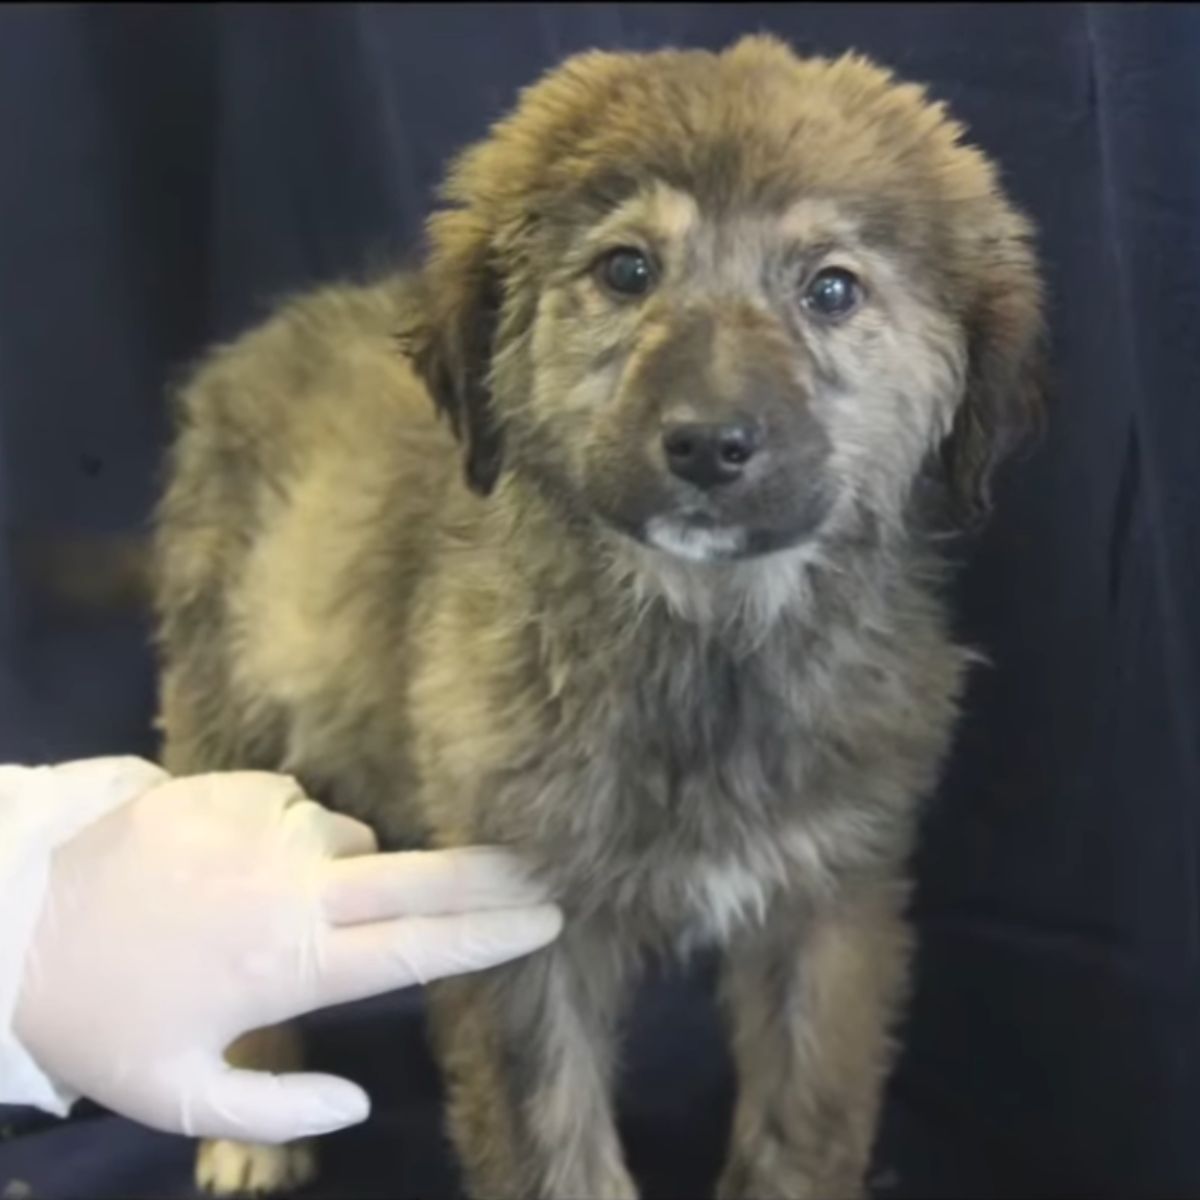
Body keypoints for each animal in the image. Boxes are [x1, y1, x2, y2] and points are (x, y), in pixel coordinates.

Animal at [157, 35, 1041, 1200]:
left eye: (832, 289)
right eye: (628, 271)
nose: (709, 442)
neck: (702, 643)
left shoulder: (831, 901)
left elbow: (801, 1127)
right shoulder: (524, 934)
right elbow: (553, 1147)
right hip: (231, 712)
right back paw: (251, 1119)